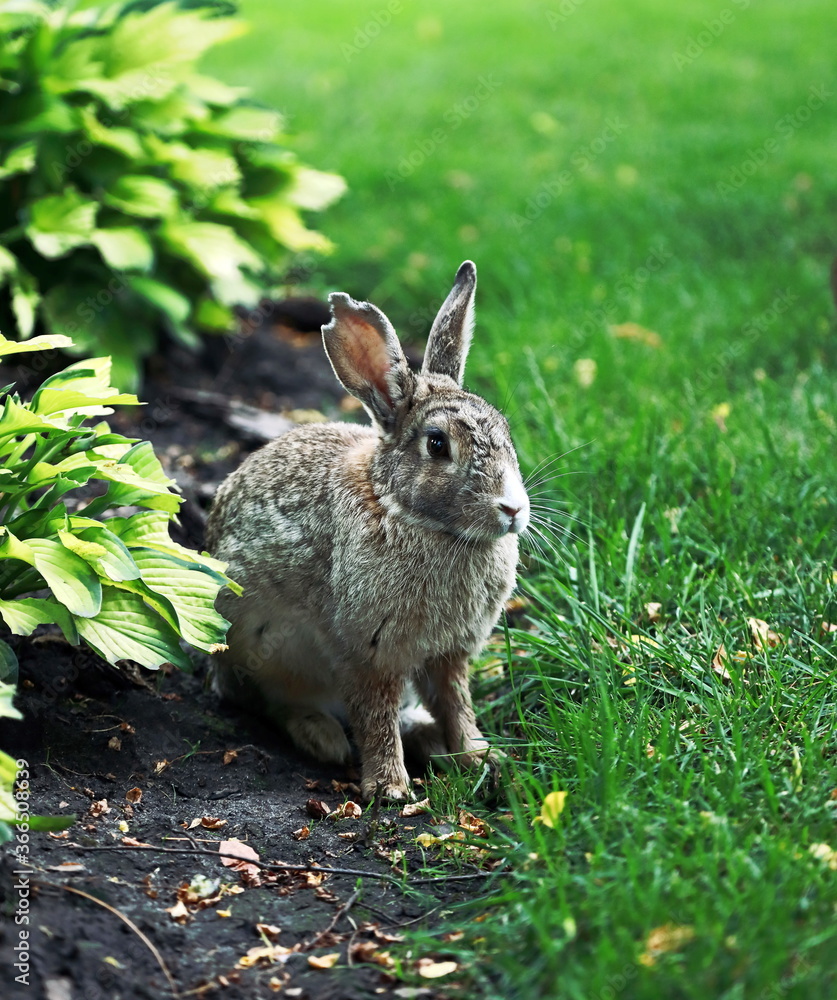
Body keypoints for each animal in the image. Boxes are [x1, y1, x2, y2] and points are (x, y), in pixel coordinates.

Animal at [205, 261, 530, 801]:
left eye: (505, 433)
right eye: (437, 445)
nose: (513, 510)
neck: (407, 512)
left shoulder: (449, 654)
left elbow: (456, 704)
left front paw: (480, 756)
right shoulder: (368, 652)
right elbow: (375, 716)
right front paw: (390, 788)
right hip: (258, 645)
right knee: (272, 701)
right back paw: (323, 737)